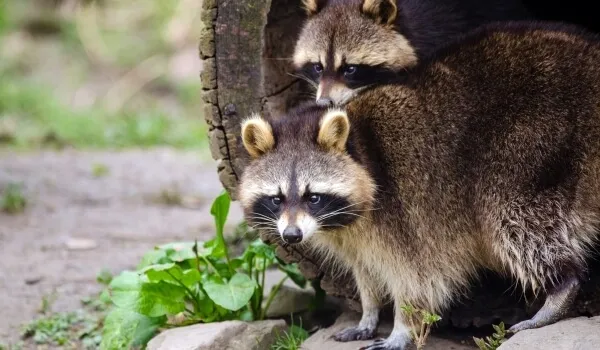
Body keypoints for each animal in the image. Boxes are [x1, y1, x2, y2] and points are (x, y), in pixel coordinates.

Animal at [241, 21, 600, 350]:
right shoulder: (352, 237)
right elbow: (365, 274)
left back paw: (560, 286)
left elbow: (416, 278)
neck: (360, 146)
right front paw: (369, 313)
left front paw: (401, 328)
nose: (291, 236)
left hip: (528, 148)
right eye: (276, 199)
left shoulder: (406, 212)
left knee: (515, 221)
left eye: (313, 197)